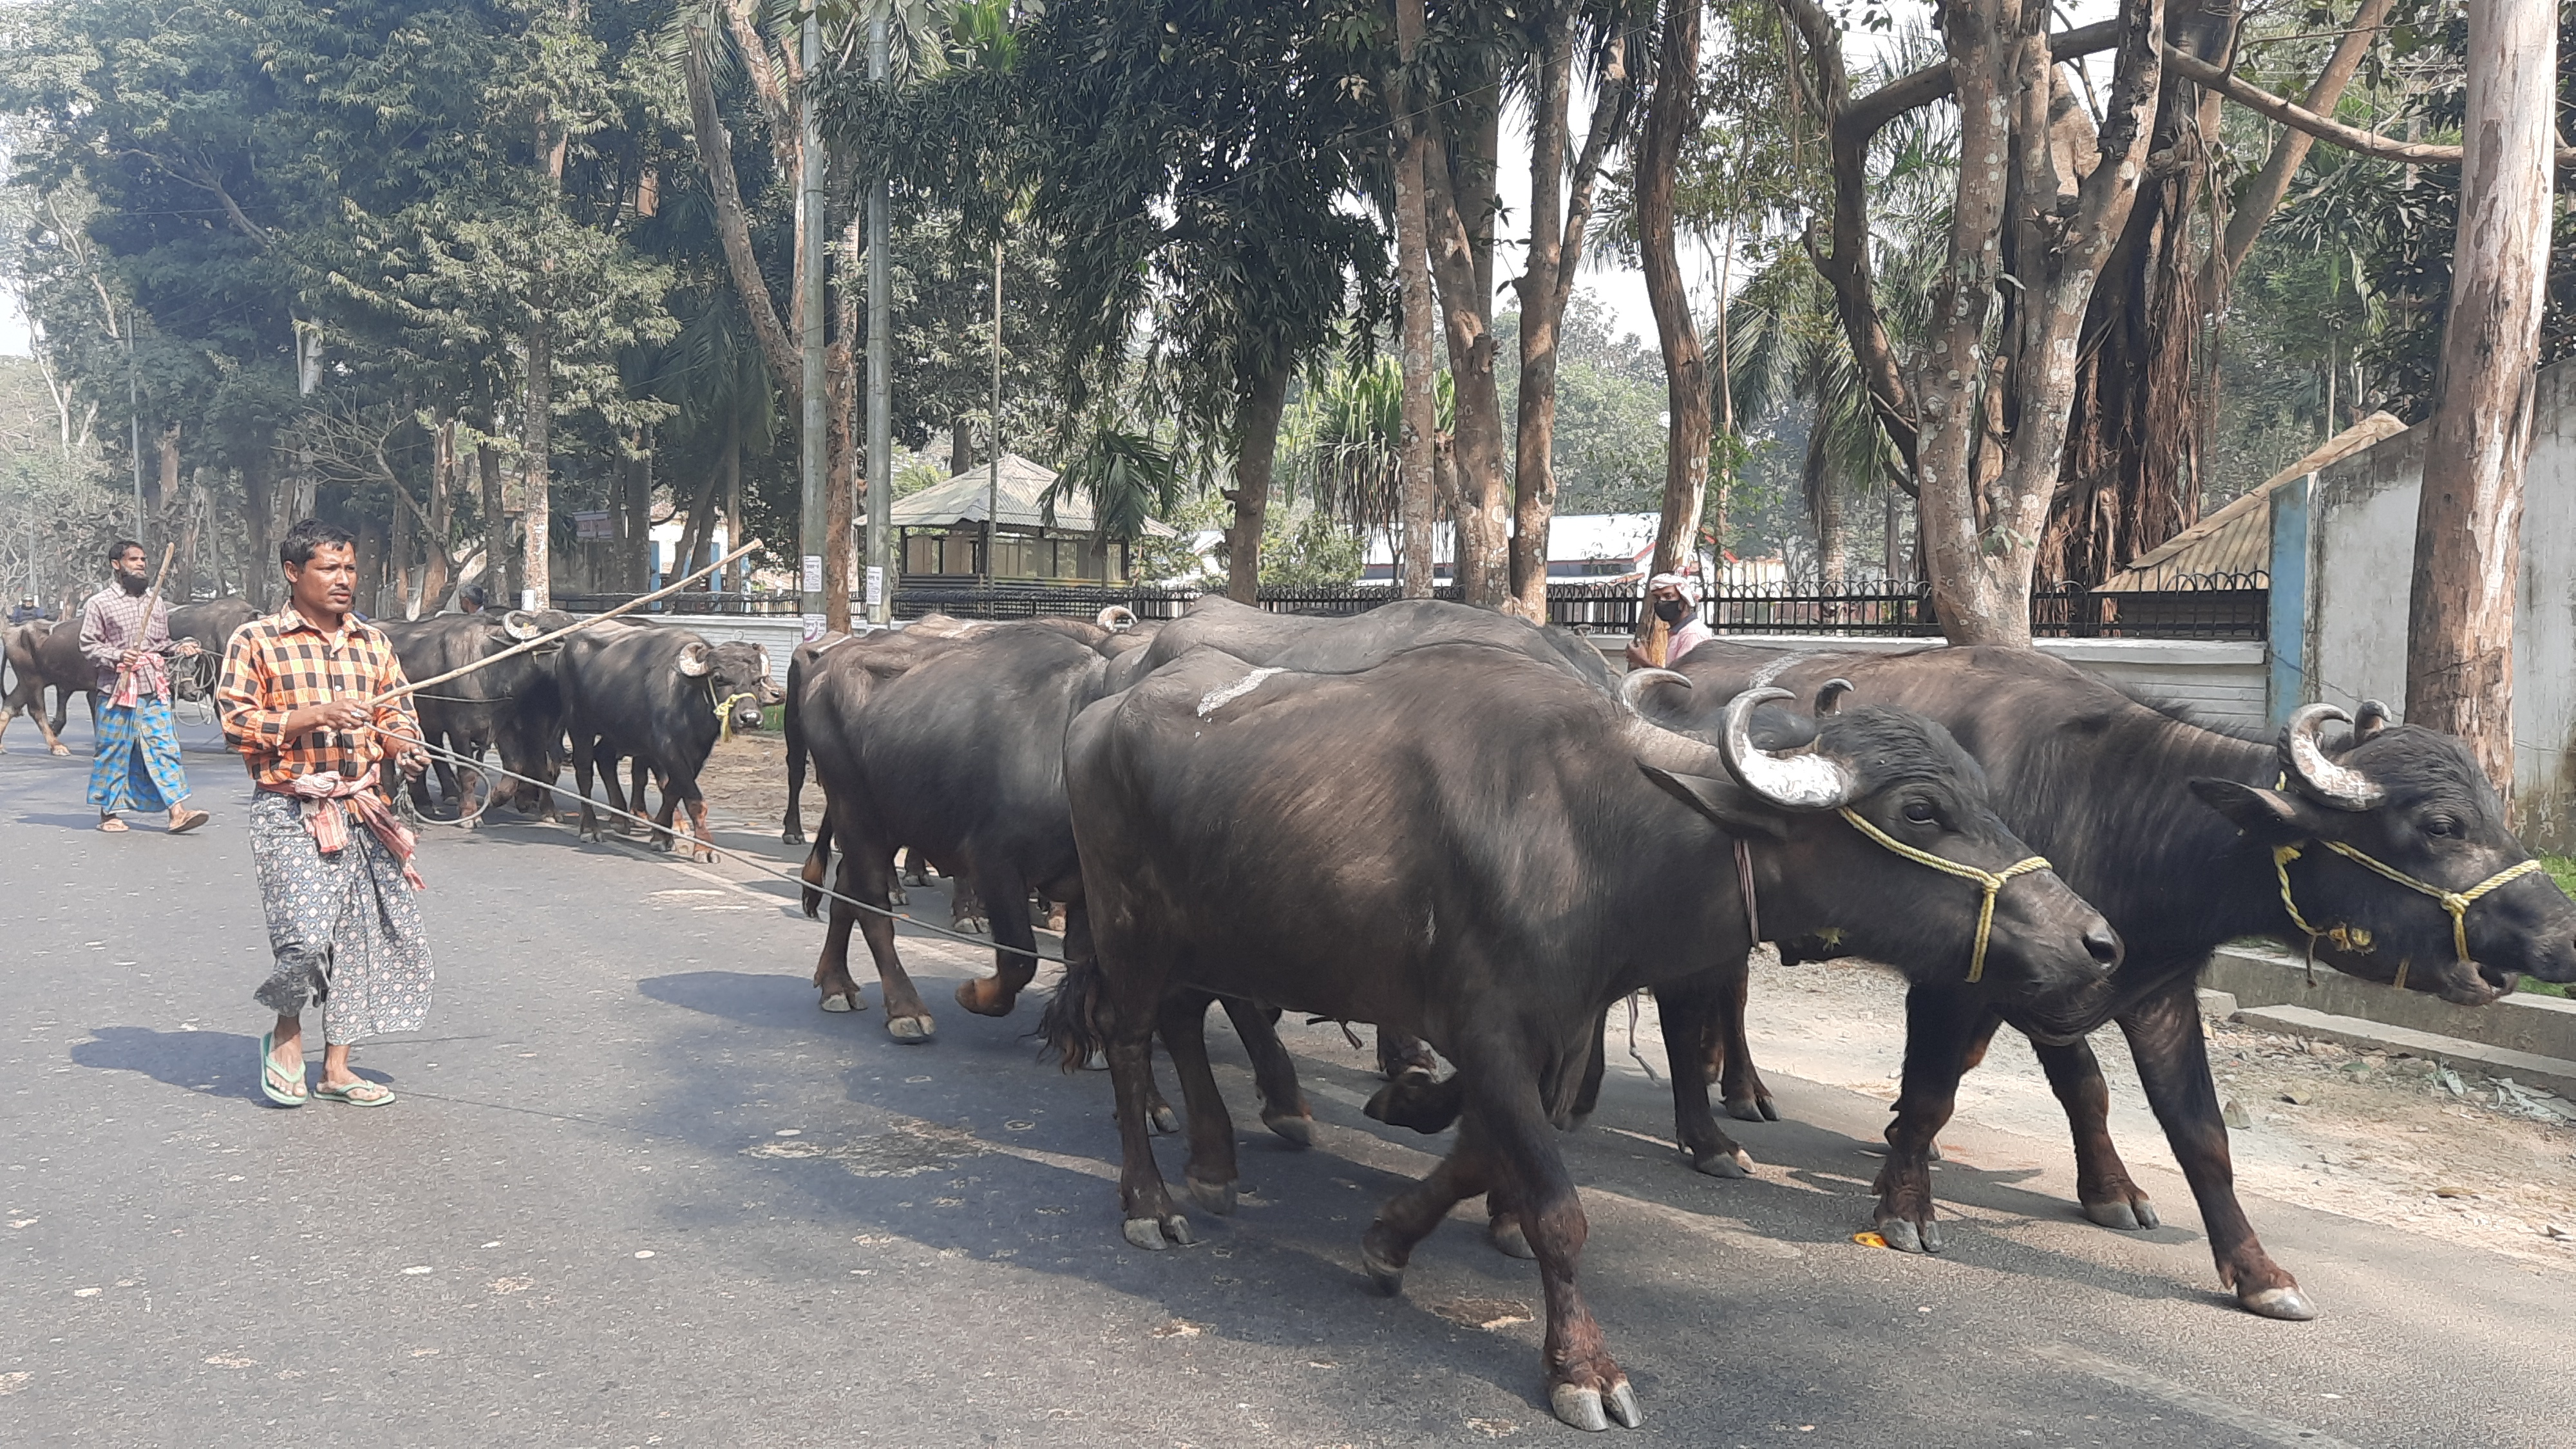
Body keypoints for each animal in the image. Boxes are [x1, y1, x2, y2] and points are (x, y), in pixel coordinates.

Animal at [1046, 644, 2112, 1433]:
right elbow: (1557, 1208)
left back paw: (1217, 1164)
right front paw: (1582, 1367)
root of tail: (1102, 713)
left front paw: (1390, 1232)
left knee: (1185, 1023)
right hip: (1130, 929)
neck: (1592, 833)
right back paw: (1150, 1199)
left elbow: (1483, 1155)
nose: (2098, 941)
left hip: (1210, 934)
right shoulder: (1491, 1031)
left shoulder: (1546, 1033)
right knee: (1131, 1041)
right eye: (1920, 809)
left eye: (1982, 794)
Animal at [1669, 641, 2576, 1320]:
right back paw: (1732, 1098)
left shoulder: (2141, 987)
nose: (2563, 938)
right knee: (1717, 995)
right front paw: (1904, 1206)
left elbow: (2182, 1127)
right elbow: (1935, 1094)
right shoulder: (1961, 984)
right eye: (2440, 825)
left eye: (2495, 811)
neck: (2117, 807)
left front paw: (2252, 1270)